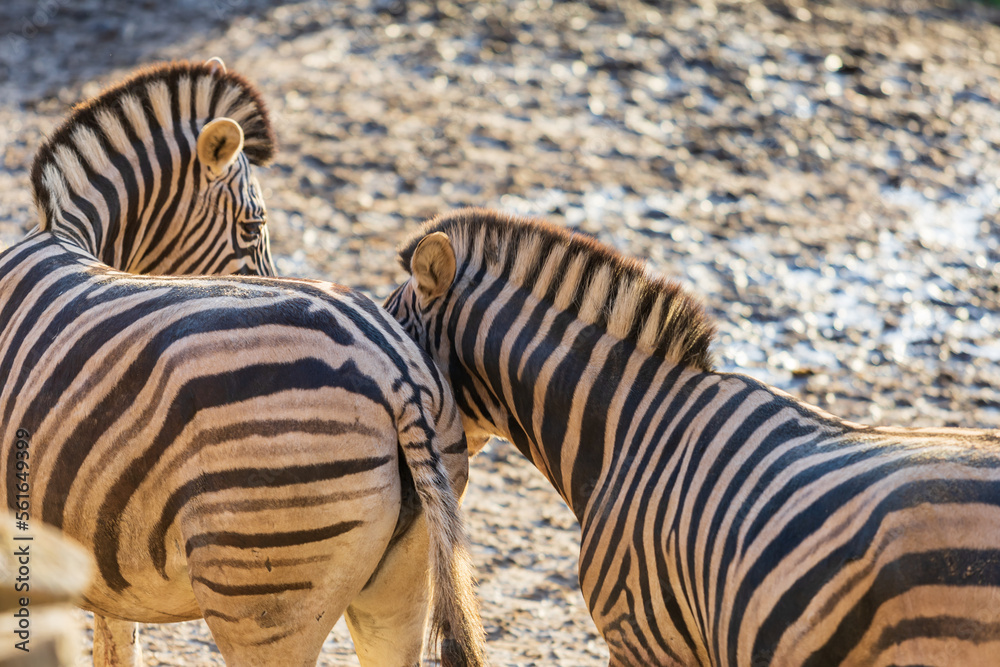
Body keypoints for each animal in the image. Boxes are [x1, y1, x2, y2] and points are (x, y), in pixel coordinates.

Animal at [1, 62, 486, 666]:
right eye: (253, 229)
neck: (63, 236)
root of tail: (396, 377)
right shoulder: (103, 573)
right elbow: (116, 649)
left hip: (261, 591)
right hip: (401, 577)